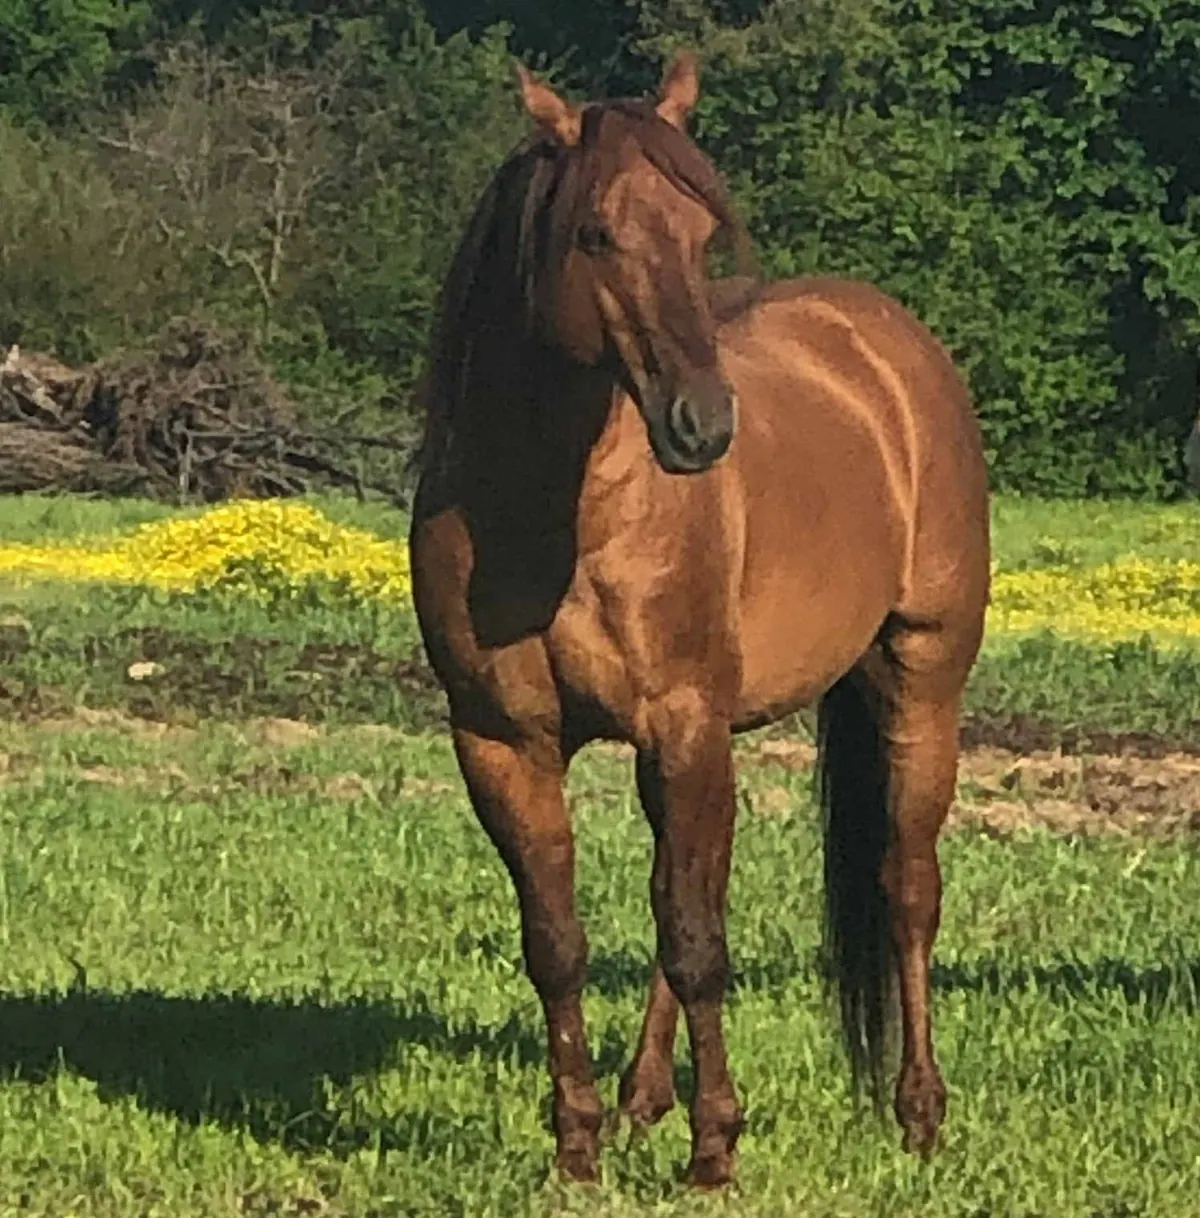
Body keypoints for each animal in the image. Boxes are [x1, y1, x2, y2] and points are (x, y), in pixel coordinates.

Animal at [408, 51, 991, 1188]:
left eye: (700, 232)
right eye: (595, 233)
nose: (704, 424)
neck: (554, 515)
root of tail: (891, 345)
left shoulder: (683, 724)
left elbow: (698, 941)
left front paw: (716, 1147)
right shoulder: (503, 743)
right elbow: (563, 942)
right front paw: (578, 1146)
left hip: (919, 685)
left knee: (906, 887)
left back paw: (920, 1114)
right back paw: (642, 1098)